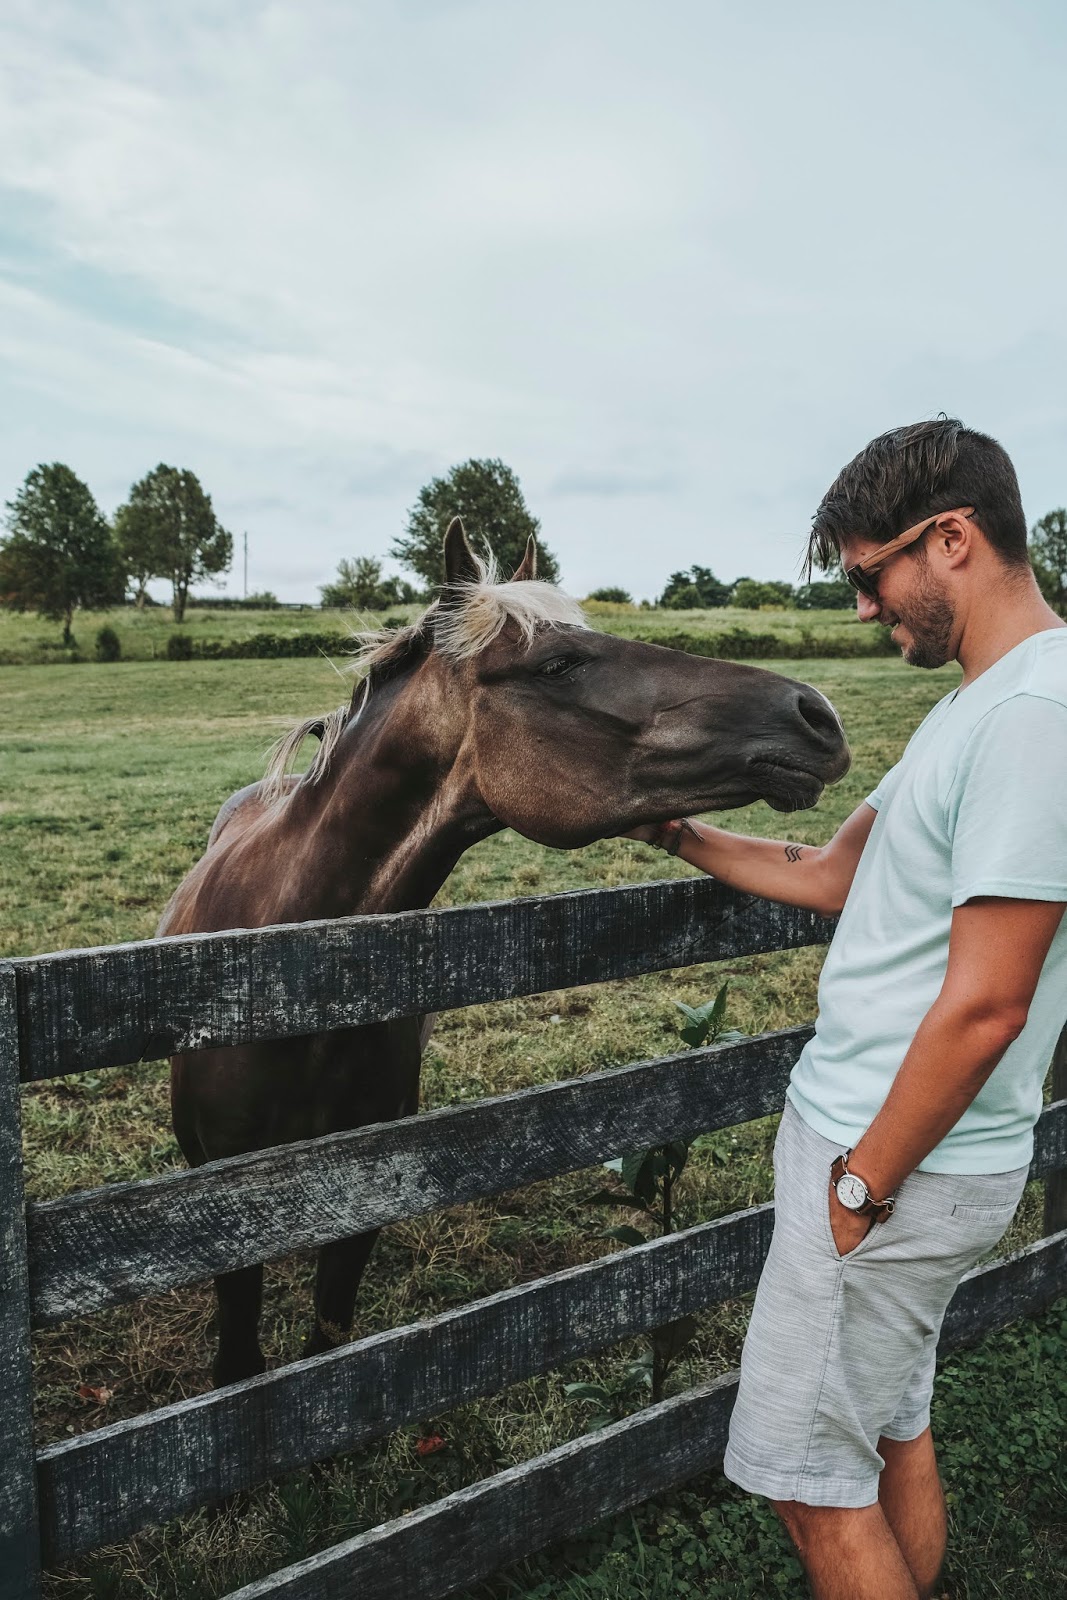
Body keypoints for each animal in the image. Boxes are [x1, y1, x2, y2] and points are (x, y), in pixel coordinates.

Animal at [162, 519, 849, 1386]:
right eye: (557, 663)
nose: (816, 714)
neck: (278, 980)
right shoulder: (218, 1216)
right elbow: (240, 1366)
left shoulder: (362, 1201)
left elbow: (329, 1342)